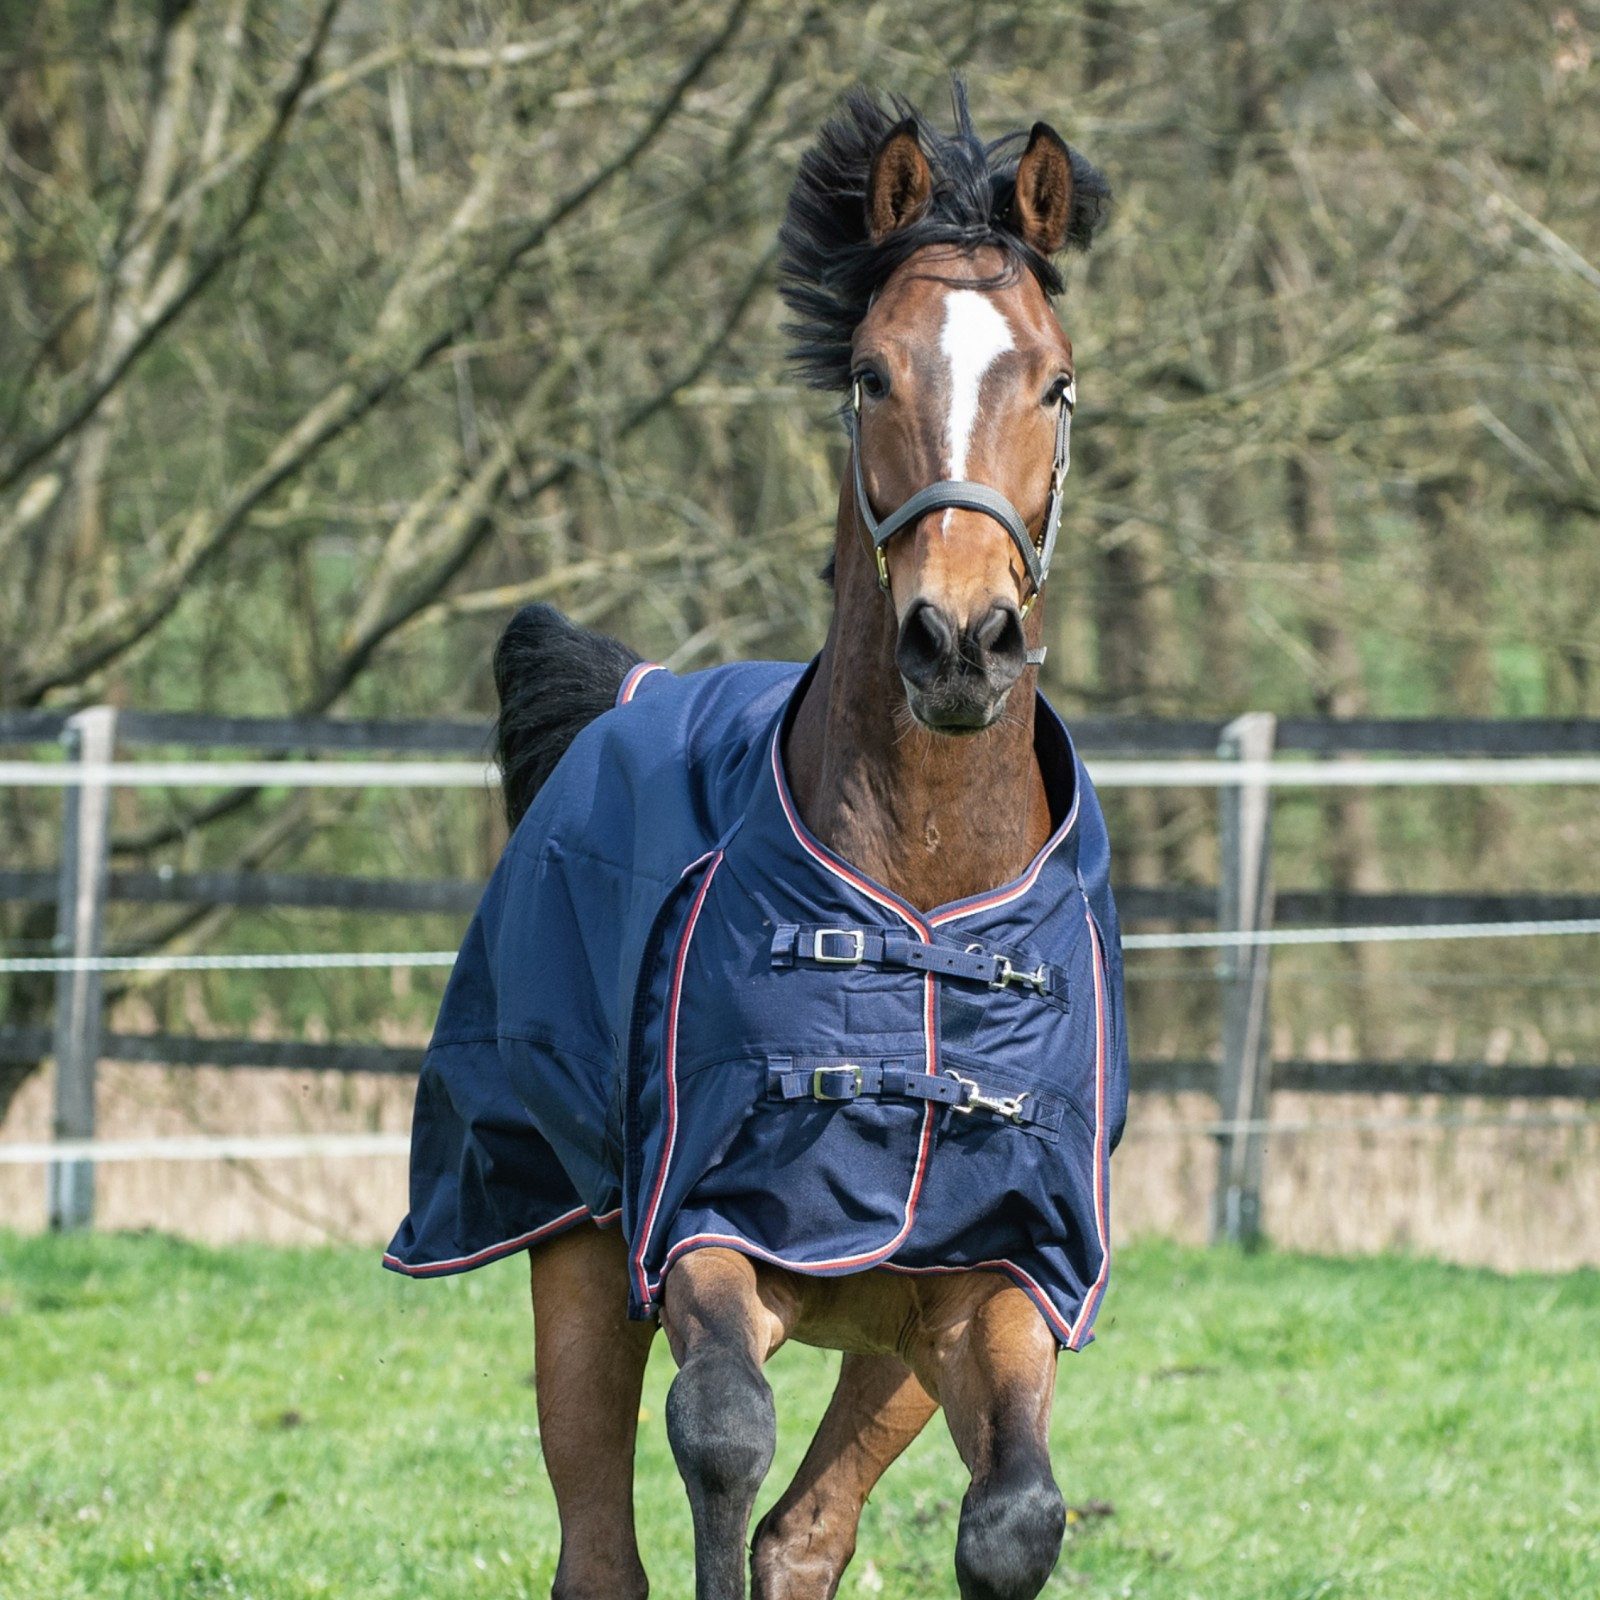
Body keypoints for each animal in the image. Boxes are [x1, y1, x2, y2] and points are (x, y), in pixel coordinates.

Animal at [387, 85, 1121, 1600]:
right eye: (873, 375)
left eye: (1056, 381)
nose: (959, 642)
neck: (922, 899)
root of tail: (633, 694)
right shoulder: (707, 1233)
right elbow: (722, 1429)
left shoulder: (1000, 1274)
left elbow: (1010, 1518)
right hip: (575, 1264)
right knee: (606, 1551)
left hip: (893, 1346)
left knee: (808, 1534)